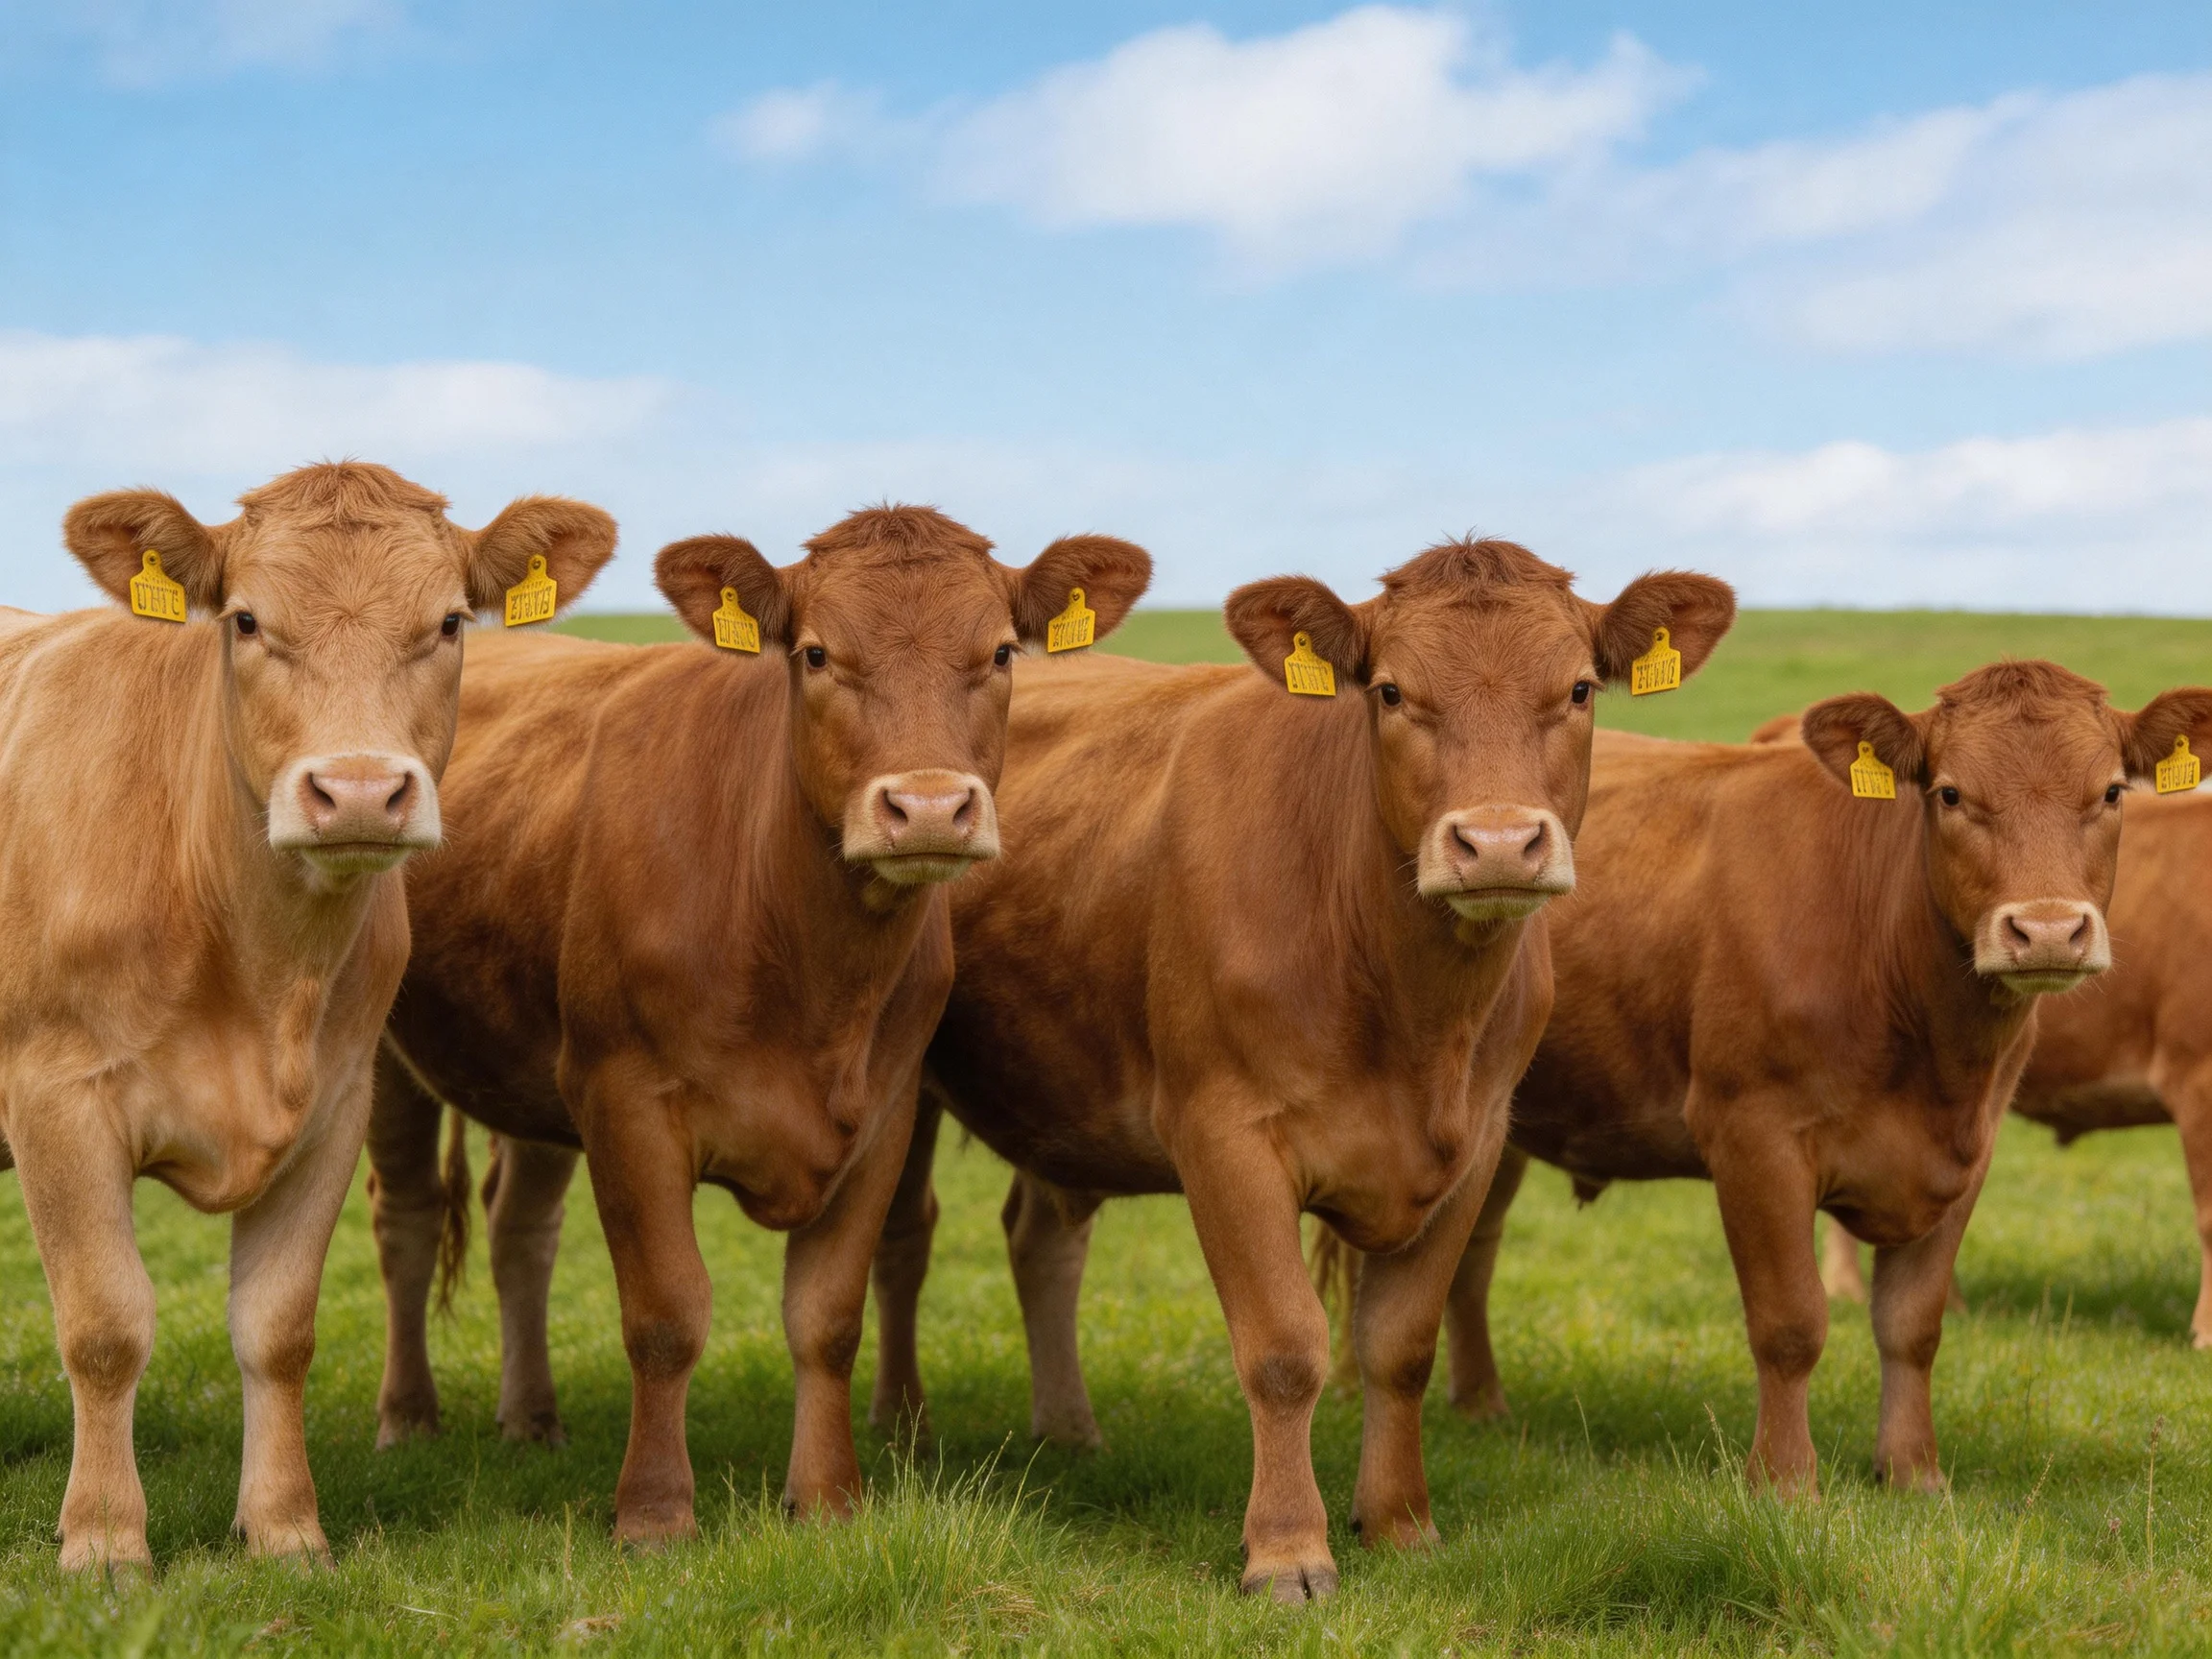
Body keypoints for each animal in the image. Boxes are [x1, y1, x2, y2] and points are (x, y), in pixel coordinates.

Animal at [0, 462, 615, 1569]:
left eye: (449, 621)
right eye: (246, 620)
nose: (360, 792)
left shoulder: (334, 1106)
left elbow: (279, 1329)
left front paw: (285, 1528)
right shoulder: (56, 1101)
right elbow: (105, 1325)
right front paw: (106, 1542)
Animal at [363, 506, 1152, 1545]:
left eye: (1001, 652)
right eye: (816, 653)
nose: (928, 807)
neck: (803, 966)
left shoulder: (884, 1113)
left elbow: (827, 1317)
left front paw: (826, 1500)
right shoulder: (626, 1100)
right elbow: (664, 1314)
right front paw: (655, 1515)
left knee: (518, 1225)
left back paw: (531, 1418)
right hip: (385, 1051)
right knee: (408, 1219)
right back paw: (408, 1417)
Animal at [862, 538, 1737, 1600]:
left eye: (1577, 688)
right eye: (1392, 691)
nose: (1495, 842)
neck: (1410, 1013)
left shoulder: (1476, 1145)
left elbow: (1399, 1346)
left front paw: (1400, 1524)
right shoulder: (1224, 1135)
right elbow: (1284, 1347)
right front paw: (1288, 1551)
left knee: (1041, 1237)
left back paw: (1069, 1432)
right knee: (902, 1238)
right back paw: (903, 1429)